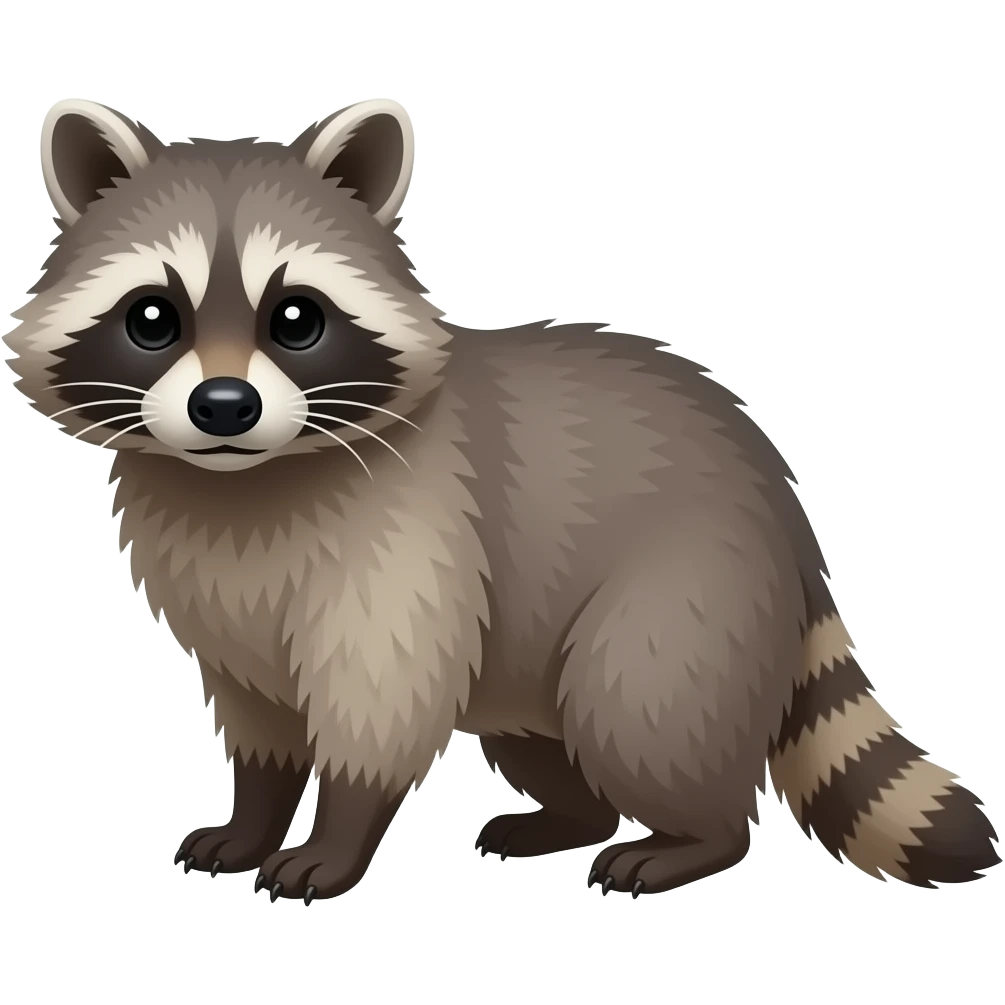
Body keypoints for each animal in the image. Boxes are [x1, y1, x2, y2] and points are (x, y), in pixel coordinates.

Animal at [5, 97, 1000, 904]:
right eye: (151, 318)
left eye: (295, 319)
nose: (223, 406)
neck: (242, 479)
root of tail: (785, 505)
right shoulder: (218, 593)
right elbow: (257, 714)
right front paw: (253, 815)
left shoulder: (410, 535)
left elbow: (383, 701)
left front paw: (335, 836)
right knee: (548, 738)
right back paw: (568, 817)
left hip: (687, 592)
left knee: (638, 707)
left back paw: (692, 838)